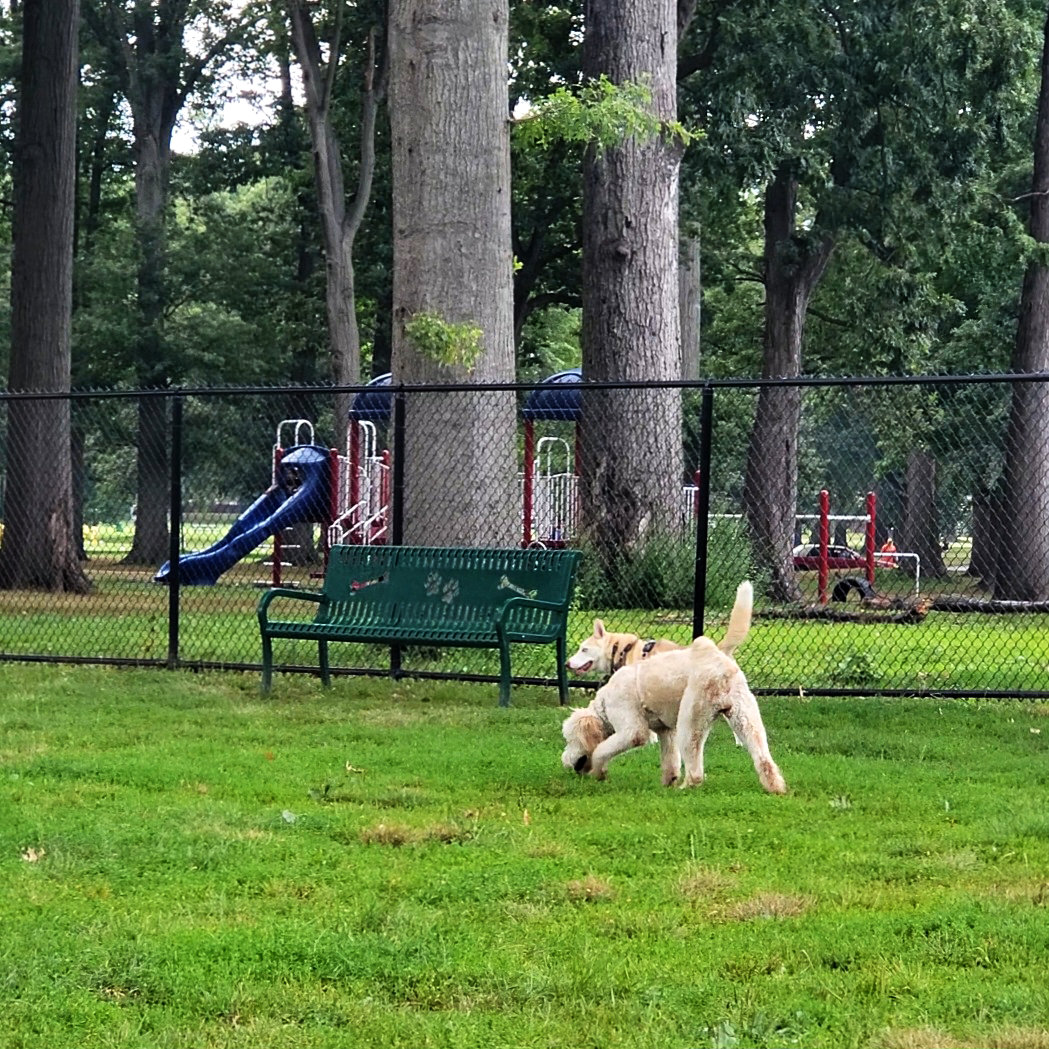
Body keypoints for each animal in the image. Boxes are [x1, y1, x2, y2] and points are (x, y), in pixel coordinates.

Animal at [562, 583, 784, 793]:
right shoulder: (667, 731)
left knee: (696, 771)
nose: (564, 762)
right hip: (746, 718)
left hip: (690, 722)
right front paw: (668, 782)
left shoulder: (633, 730)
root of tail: (716, 659)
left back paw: (687, 787)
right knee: (764, 759)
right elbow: (670, 760)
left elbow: (601, 750)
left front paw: (599, 772)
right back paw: (776, 787)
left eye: (570, 740)